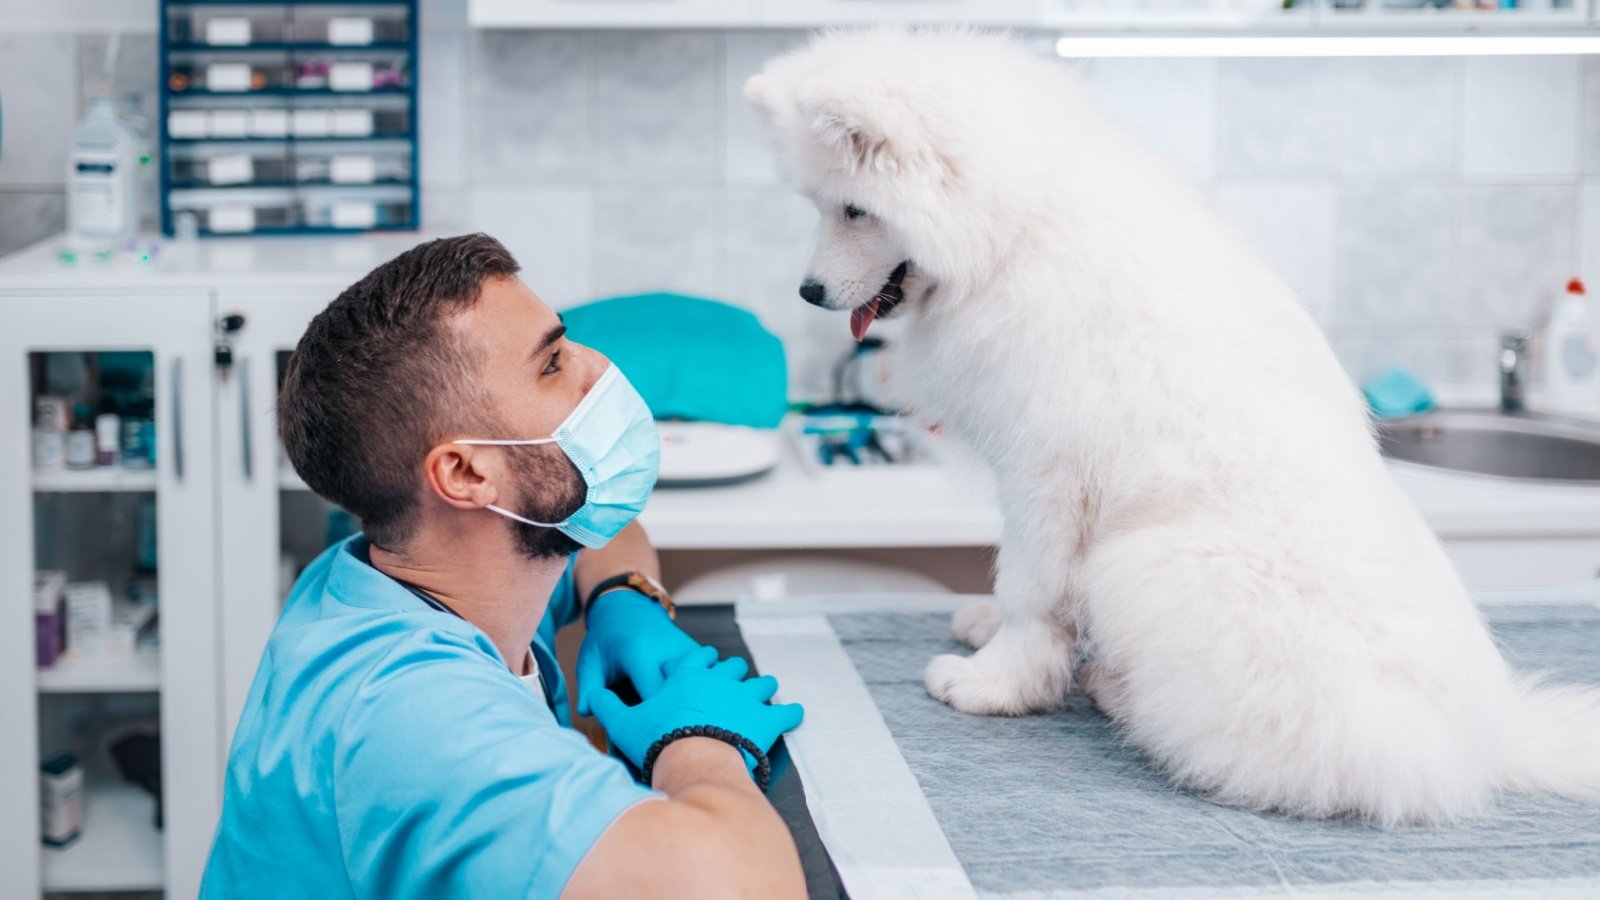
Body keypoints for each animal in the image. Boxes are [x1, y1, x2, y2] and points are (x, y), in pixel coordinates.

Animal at [745, 28, 1600, 826]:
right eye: (821, 205)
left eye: (855, 209)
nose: (808, 291)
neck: (1018, 230)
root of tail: (1485, 749)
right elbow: (1019, 584)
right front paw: (987, 629)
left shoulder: (1047, 474)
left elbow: (1032, 590)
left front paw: (994, 683)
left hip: (1144, 562)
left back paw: (1118, 692)